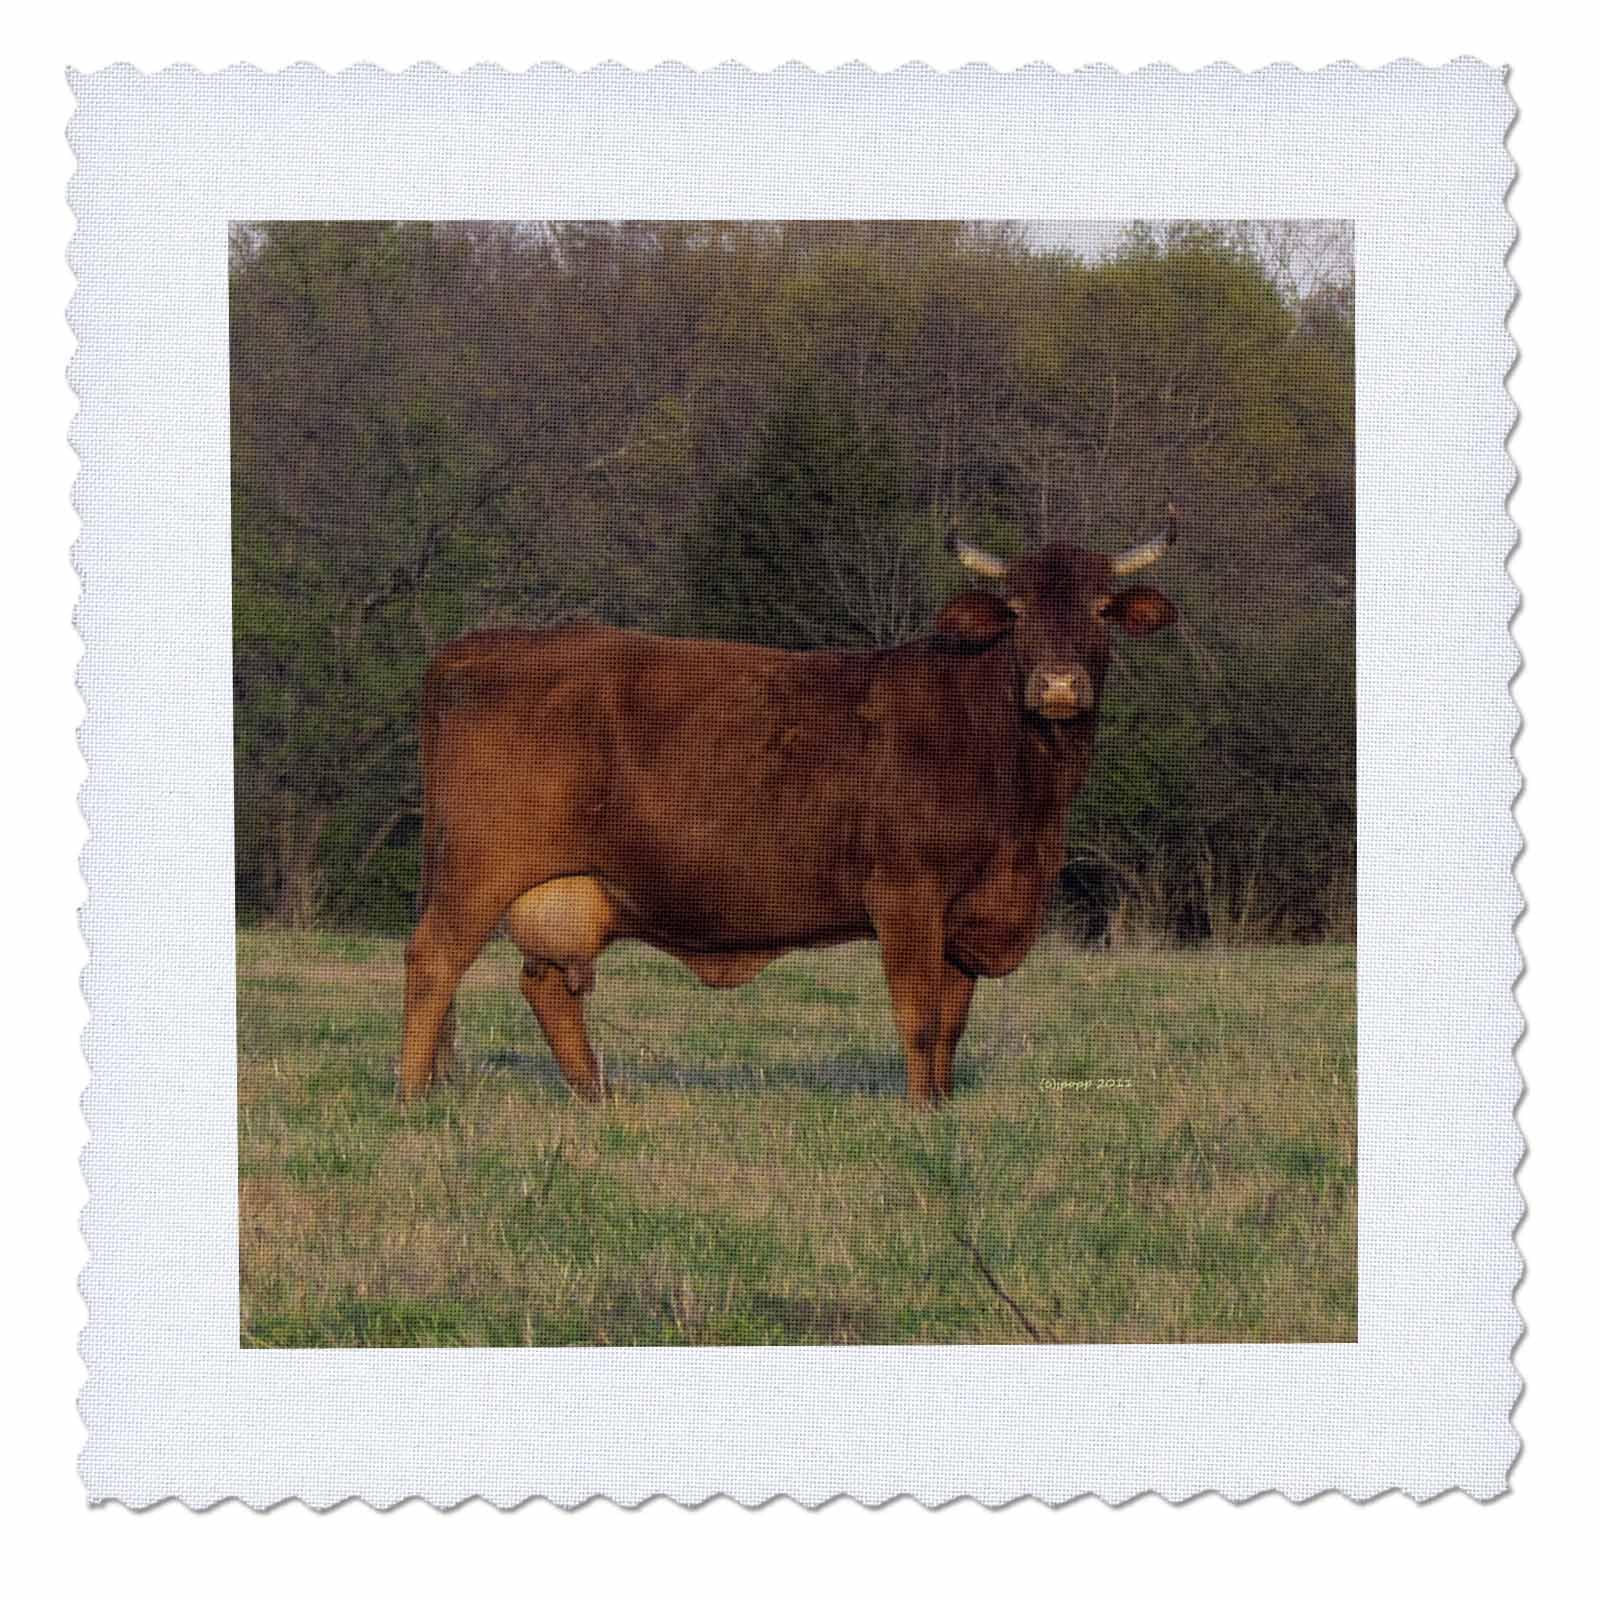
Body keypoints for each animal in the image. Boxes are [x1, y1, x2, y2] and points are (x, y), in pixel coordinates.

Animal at [396, 511, 1180, 1107]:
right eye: (1015, 613)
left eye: (1102, 610)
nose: (1058, 685)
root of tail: (479, 646)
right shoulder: (907, 894)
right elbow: (921, 1015)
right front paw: (921, 1112)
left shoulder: (972, 910)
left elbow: (953, 1023)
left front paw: (945, 1104)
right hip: (478, 868)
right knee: (434, 962)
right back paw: (411, 1097)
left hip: (562, 890)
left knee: (548, 987)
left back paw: (598, 1098)